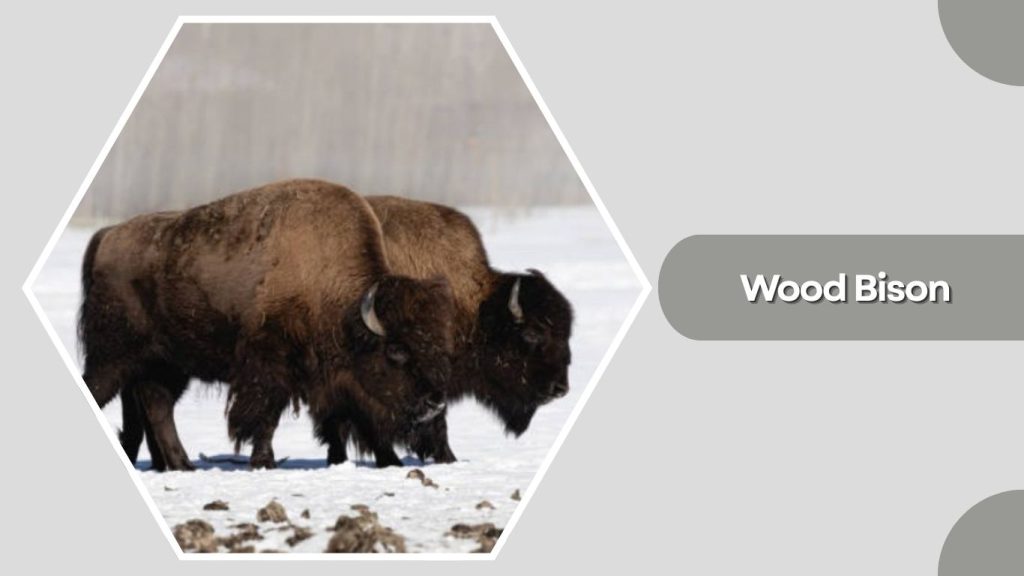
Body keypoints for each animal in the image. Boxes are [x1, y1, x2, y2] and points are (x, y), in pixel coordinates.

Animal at [80, 179, 455, 470]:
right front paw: (264, 461)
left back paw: (183, 465)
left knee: (158, 406)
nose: (434, 404)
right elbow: (264, 416)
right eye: (396, 351)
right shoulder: (269, 366)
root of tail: (108, 236)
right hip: (113, 358)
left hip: (167, 364)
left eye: (436, 345)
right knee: (114, 393)